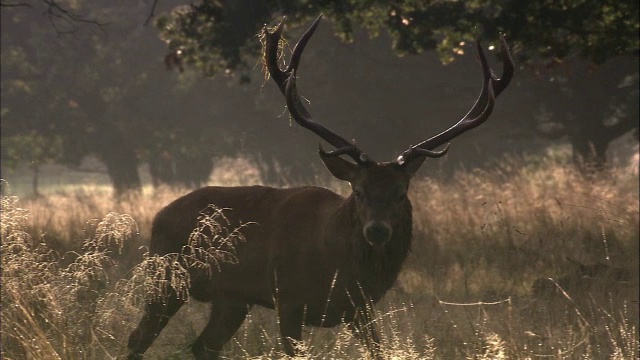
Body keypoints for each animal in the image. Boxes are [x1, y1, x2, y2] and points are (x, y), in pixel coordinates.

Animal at [129, 14, 516, 360]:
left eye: (401, 193)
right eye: (358, 192)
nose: (377, 231)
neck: (335, 263)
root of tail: (159, 216)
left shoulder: (361, 308)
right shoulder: (288, 299)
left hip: (231, 297)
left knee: (203, 346)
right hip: (166, 276)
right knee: (139, 338)